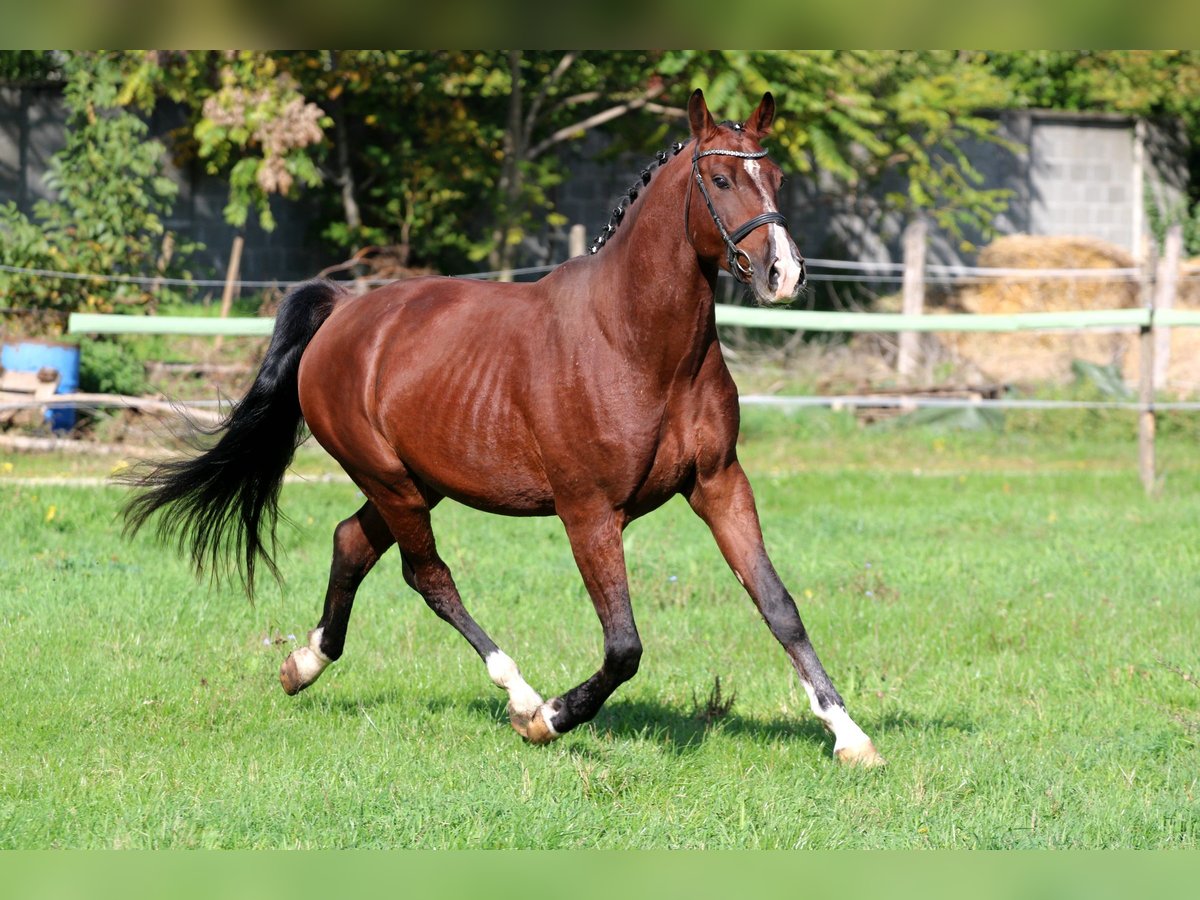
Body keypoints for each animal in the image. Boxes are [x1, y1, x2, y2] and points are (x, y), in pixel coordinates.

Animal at [126, 90, 883, 768]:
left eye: (776, 178)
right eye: (721, 179)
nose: (785, 273)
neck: (638, 343)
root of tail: (343, 311)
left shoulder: (720, 483)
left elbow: (778, 605)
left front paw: (849, 737)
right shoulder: (588, 512)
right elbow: (624, 646)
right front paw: (551, 719)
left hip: (415, 482)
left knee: (351, 542)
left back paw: (303, 665)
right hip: (391, 481)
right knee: (429, 576)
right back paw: (518, 696)